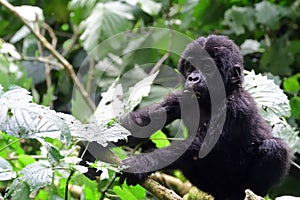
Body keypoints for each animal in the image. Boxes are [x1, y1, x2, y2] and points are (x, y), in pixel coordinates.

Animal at [118, 35, 290, 199]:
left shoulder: (236, 107)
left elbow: (203, 145)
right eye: (190, 67)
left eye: (207, 68)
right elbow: (144, 123)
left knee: (276, 147)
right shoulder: (181, 97)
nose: (193, 78)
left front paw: (140, 163)